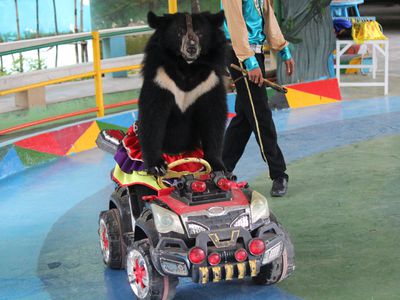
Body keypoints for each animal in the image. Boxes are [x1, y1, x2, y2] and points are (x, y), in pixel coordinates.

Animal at [138, 11, 228, 176]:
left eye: (200, 33)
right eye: (180, 32)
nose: (191, 49)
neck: (187, 68)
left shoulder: (209, 83)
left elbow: (214, 119)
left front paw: (218, 166)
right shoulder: (161, 80)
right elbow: (152, 118)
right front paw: (157, 165)